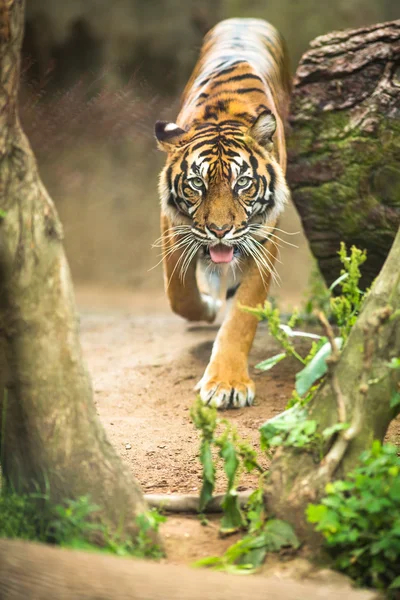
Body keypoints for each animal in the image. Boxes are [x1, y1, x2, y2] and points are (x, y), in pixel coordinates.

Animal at [154, 19, 290, 412]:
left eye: (242, 182)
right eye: (196, 184)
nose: (219, 230)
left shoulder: (264, 240)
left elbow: (243, 315)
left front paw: (227, 384)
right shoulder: (174, 229)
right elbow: (179, 292)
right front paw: (209, 307)